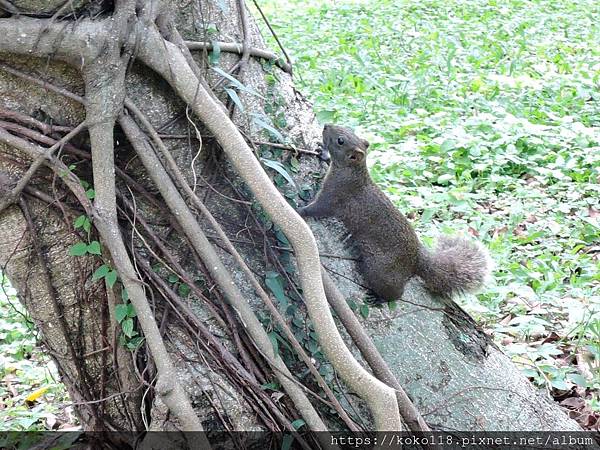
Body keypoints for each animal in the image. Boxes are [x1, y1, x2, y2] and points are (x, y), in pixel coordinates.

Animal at [298, 124, 490, 306]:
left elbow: (319, 208)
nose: (326, 126)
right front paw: (323, 154)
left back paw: (380, 299)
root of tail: (416, 259)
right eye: (347, 130)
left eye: (340, 140)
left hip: (381, 271)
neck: (353, 172)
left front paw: (299, 210)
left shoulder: (337, 195)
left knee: (396, 294)